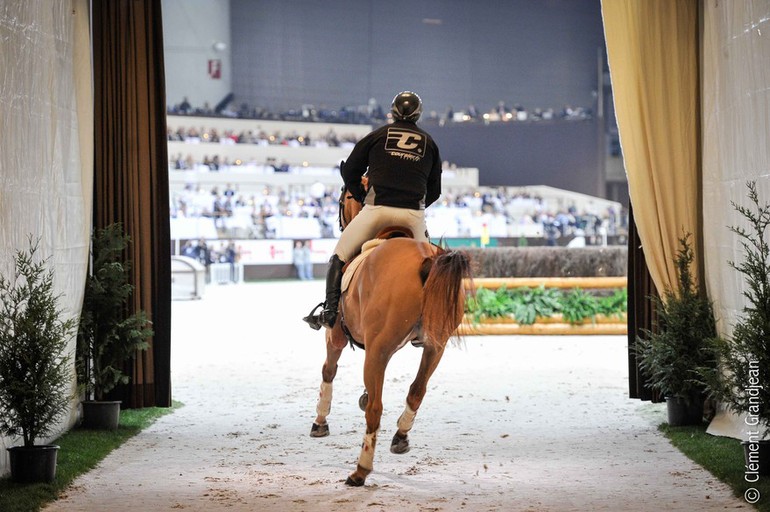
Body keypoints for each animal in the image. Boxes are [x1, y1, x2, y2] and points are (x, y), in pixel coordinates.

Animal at [308, 184, 472, 484]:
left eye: (342, 199)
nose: (340, 223)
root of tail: (425, 261)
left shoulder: (336, 336)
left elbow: (328, 371)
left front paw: (320, 421)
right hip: (436, 346)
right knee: (417, 390)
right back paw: (400, 436)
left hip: (378, 349)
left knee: (376, 408)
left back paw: (361, 470)